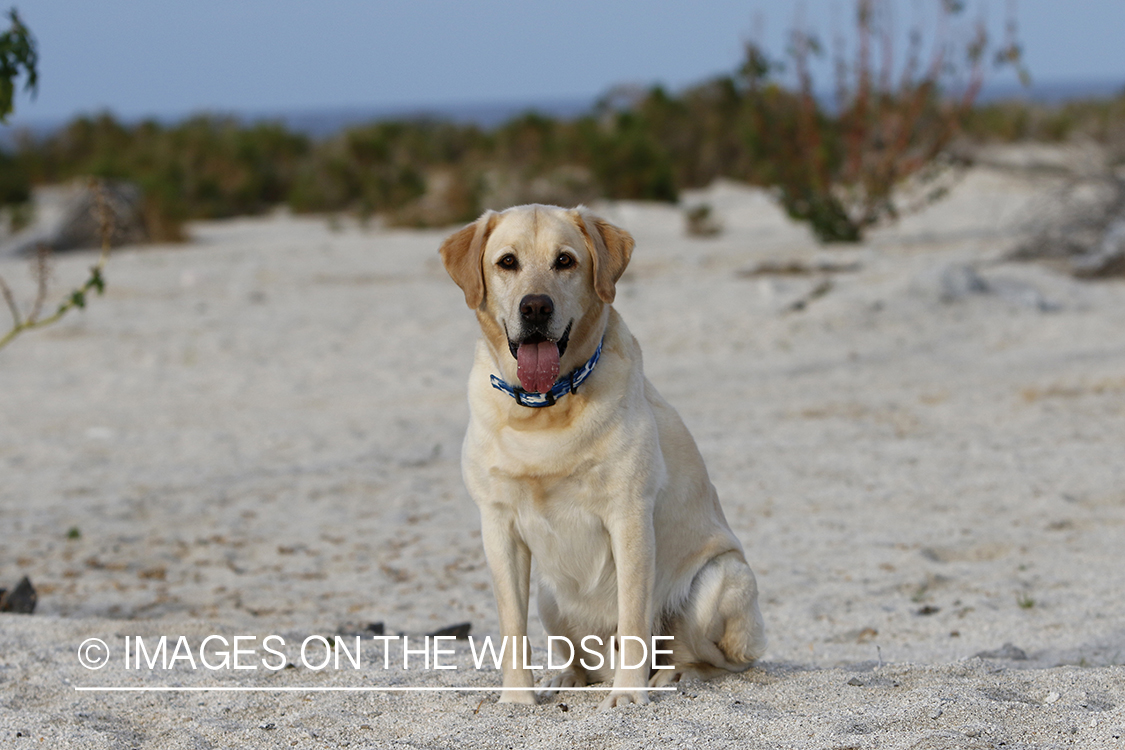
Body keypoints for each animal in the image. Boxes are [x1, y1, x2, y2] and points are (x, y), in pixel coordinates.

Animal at [438, 205, 765, 710]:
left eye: (565, 261)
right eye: (507, 262)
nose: (536, 307)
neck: (544, 411)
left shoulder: (628, 516)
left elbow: (633, 618)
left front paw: (628, 695)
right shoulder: (497, 524)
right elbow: (512, 626)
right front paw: (517, 699)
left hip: (720, 579)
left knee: (710, 659)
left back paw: (668, 677)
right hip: (551, 598)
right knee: (583, 659)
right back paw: (567, 679)